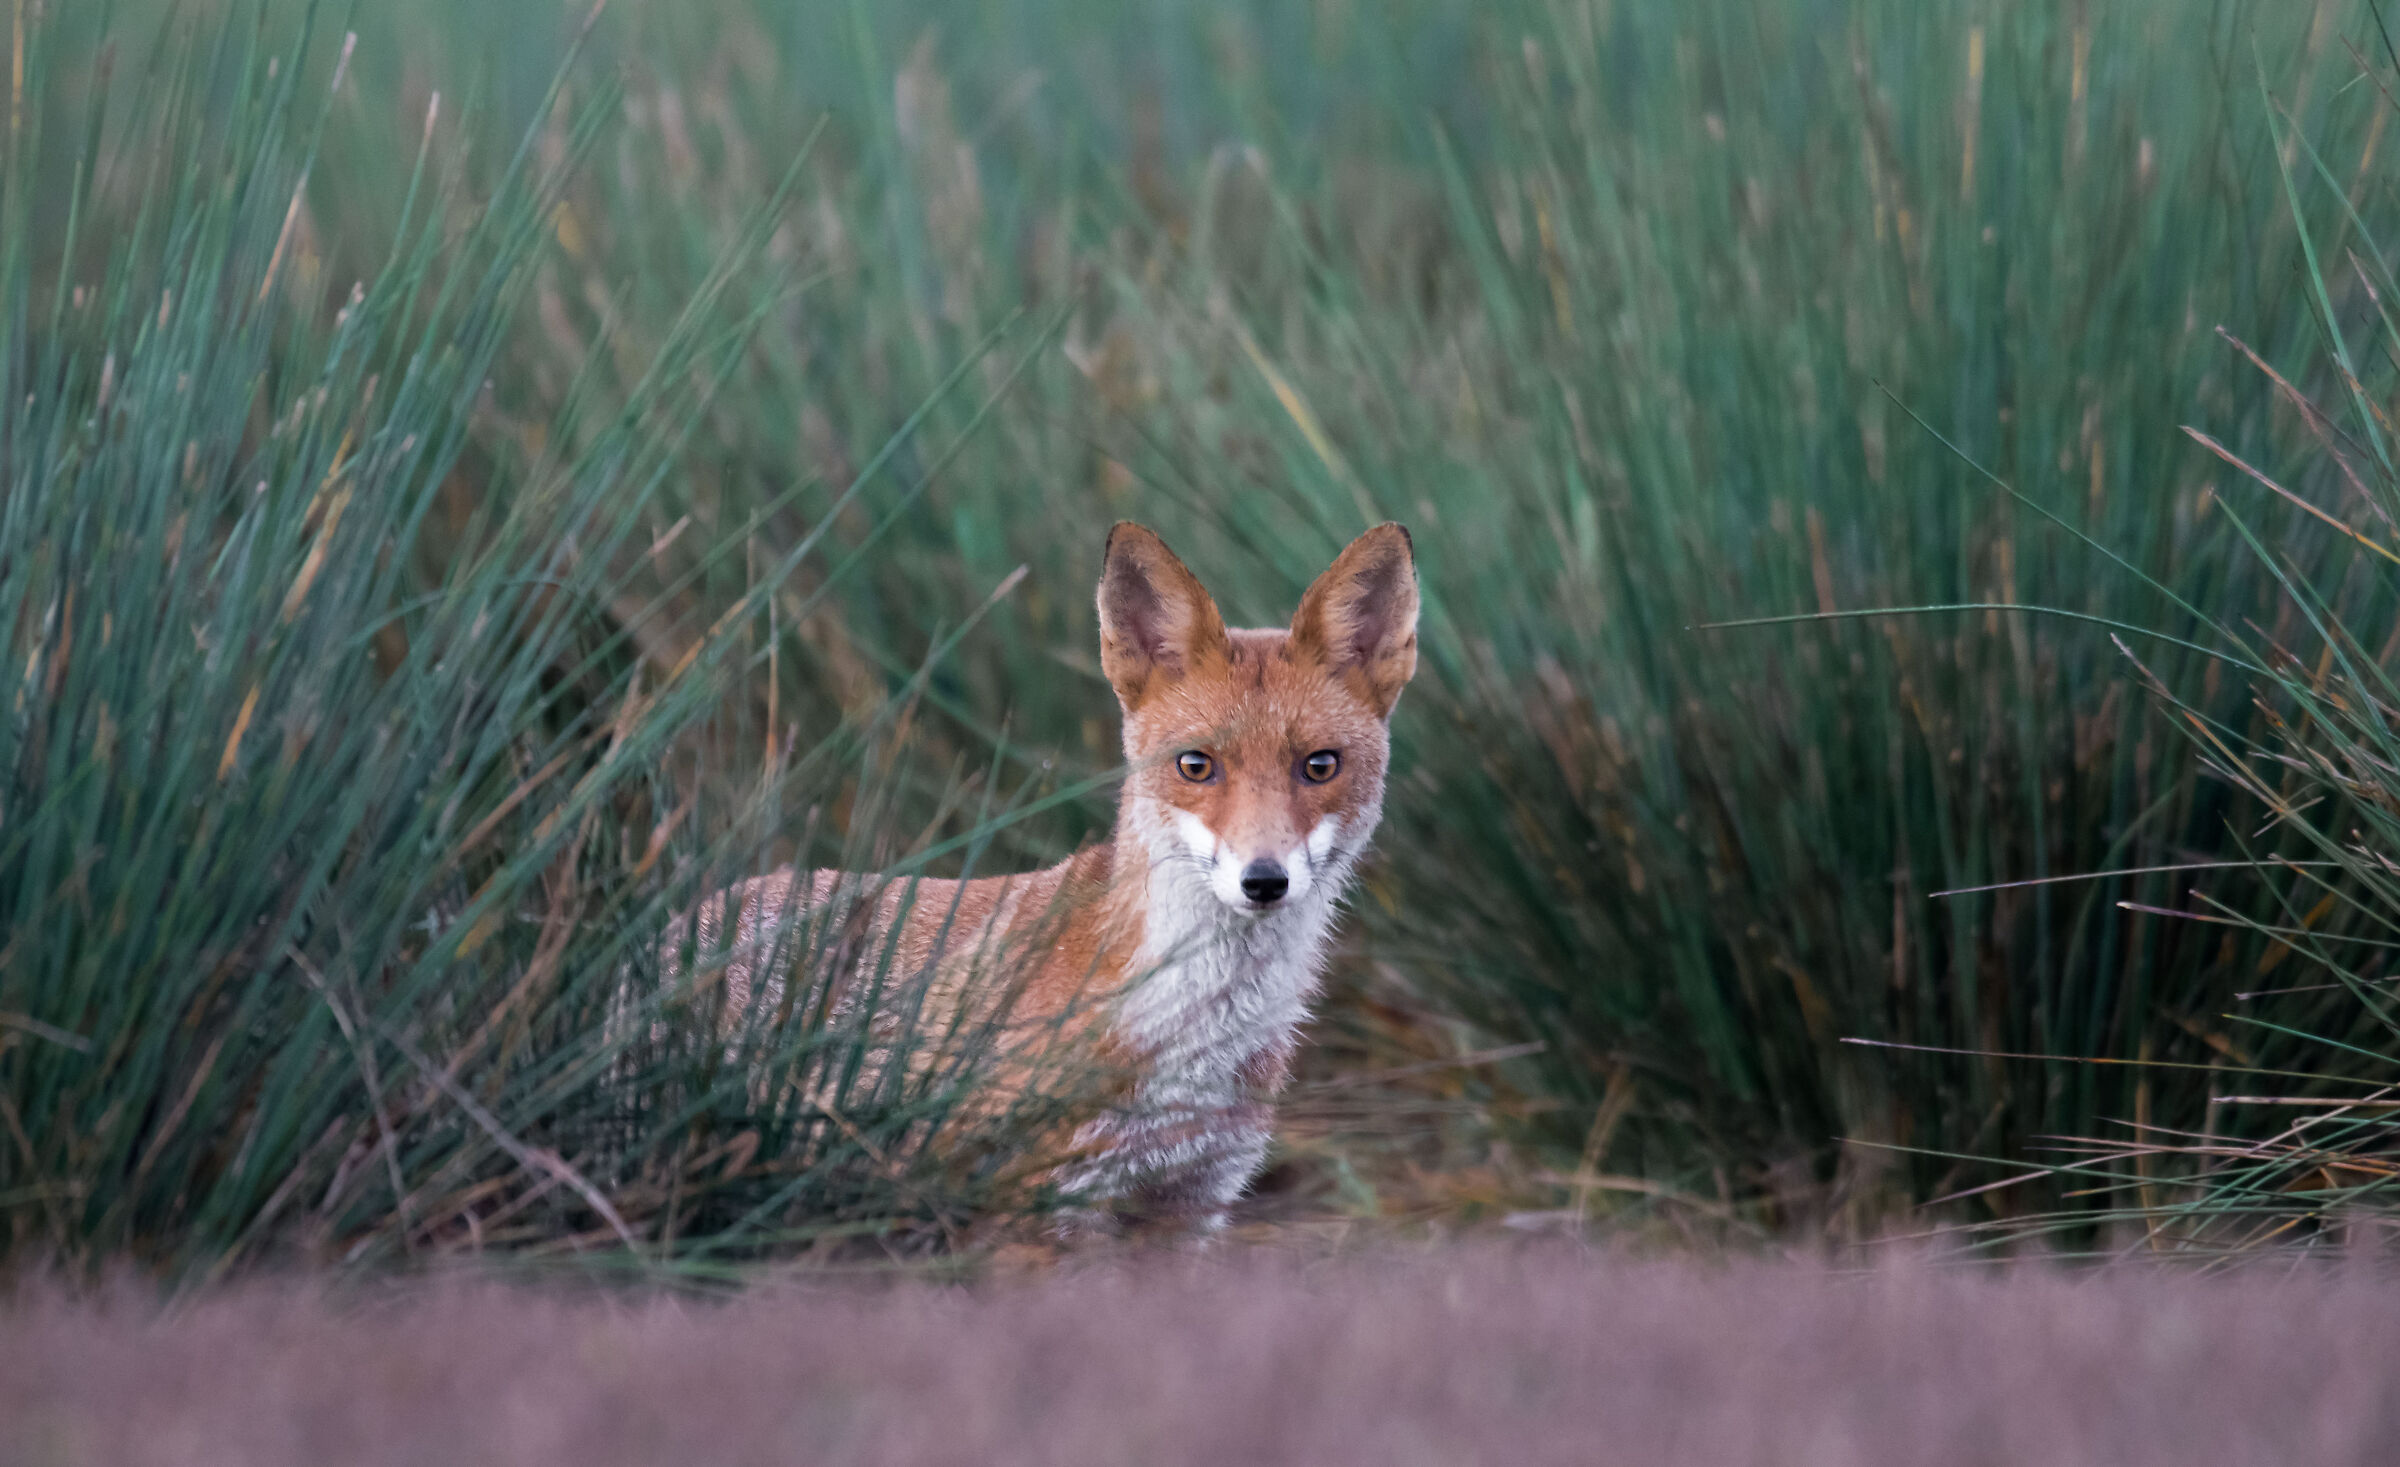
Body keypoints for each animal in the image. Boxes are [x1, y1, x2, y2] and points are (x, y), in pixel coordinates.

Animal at [667, 520, 1419, 1231]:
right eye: (1196, 765)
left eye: (1319, 766)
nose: (1263, 880)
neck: (1188, 1045)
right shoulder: (1038, 1207)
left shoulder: (1189, 1203)